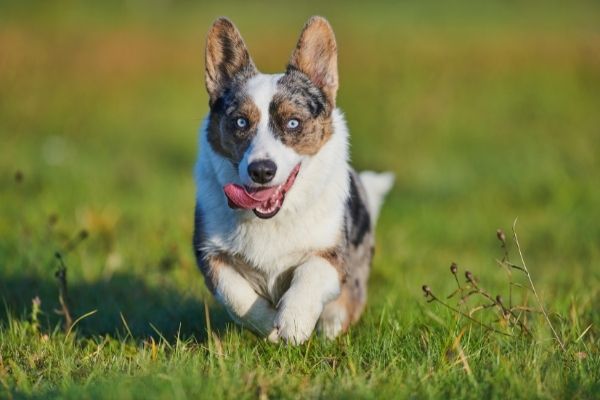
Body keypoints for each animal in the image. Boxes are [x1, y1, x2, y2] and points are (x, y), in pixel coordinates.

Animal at [195, 15, 396, 344]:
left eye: (292, 123)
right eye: (240, 122)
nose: (261, 171)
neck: (269, 219)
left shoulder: (332, 255)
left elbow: (309, 274)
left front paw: (293, 323)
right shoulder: (209, 254)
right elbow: (236, 295)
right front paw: (268, 325)